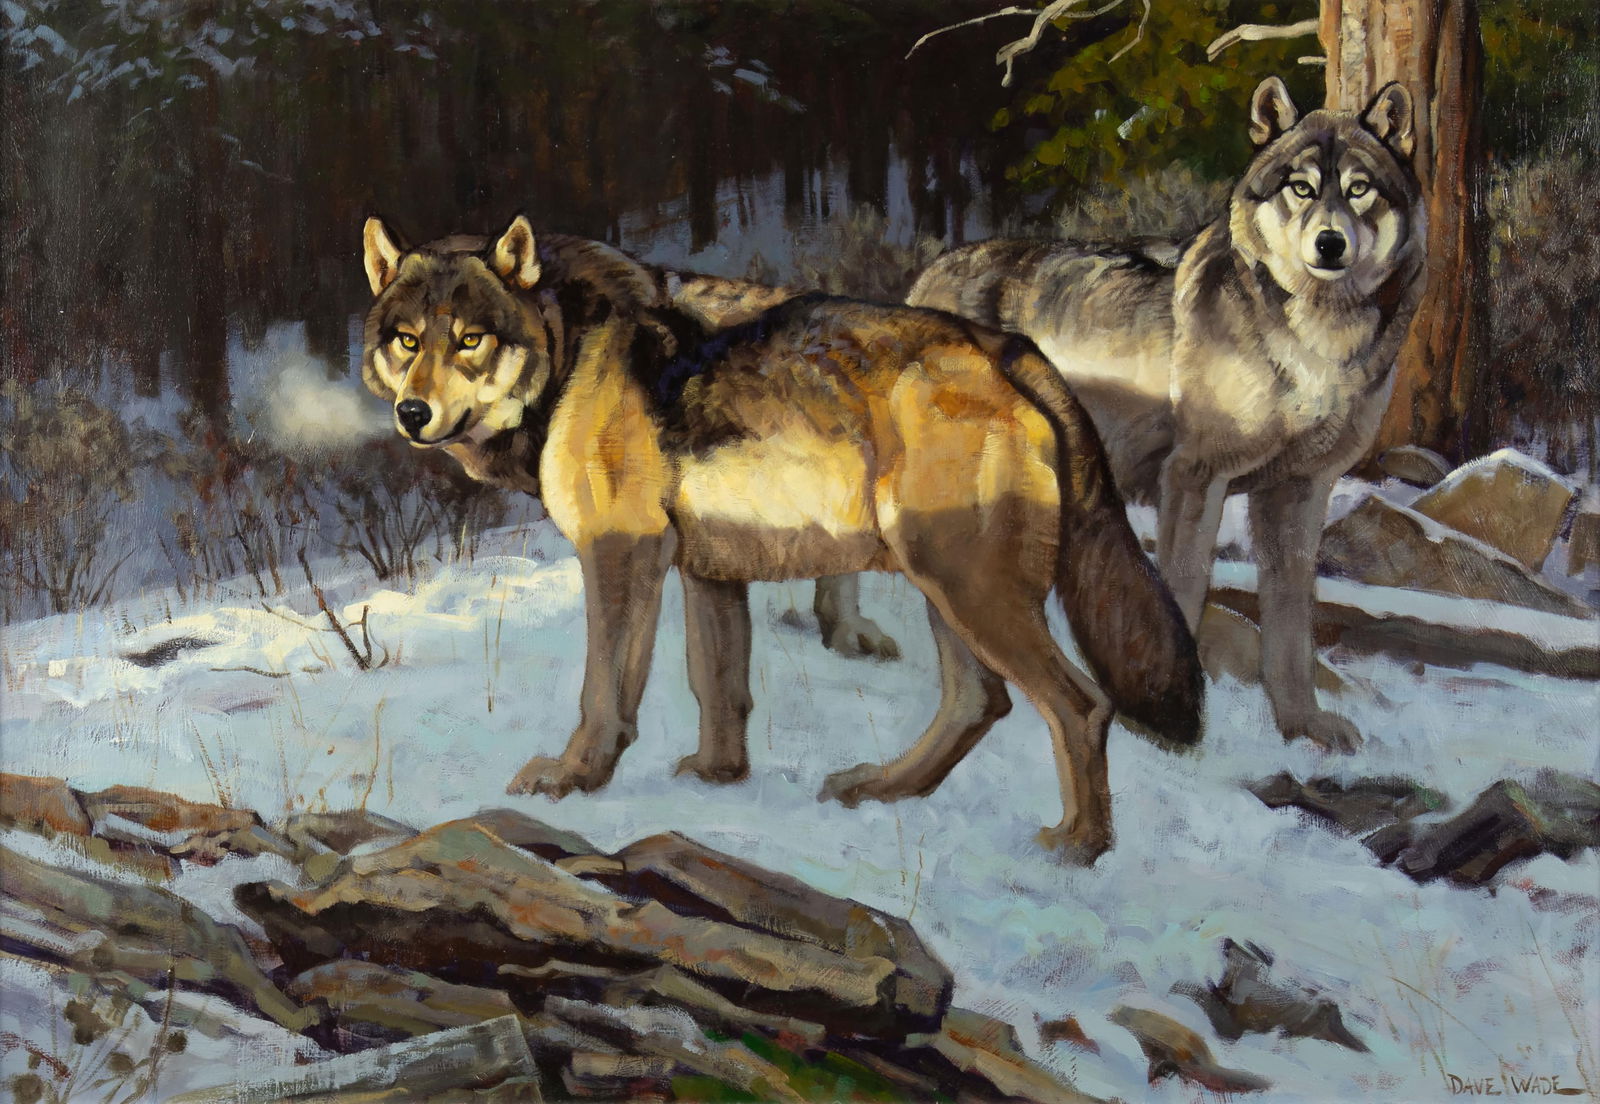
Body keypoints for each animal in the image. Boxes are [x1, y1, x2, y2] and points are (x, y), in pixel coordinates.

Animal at [360, 215, 1203, 863]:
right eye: (406, 341)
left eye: (470, 340)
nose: (412, 413)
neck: (571, 344)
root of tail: (1014, 349)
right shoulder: (707, 571)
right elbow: (718, 685)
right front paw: (716, 779)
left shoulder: (621, 552)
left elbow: (605, 691)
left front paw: (573, 780)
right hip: (947, 590)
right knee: (979, 702)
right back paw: (877, 790)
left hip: (963, 587)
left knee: (1081, 706)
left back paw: (1077, 850)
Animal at [905, 77, 1426, 753]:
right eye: (1302, 188)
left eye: (1359, 188)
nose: (1330, 244)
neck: (1316, 345)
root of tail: (930, 272)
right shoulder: (1193, 479)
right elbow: (1183, 593)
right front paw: (1164, 729)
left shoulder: (1299, 492)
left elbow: (1291, 627)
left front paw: (1302, 726)